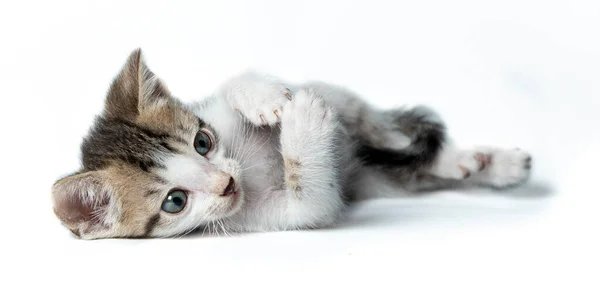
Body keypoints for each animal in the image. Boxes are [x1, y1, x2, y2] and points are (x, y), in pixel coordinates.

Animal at [50, 49, 528, 240]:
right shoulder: (282, 215)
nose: (226, 184)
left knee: (383, 130)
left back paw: (472, 157)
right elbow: (313, 200)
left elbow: (235, 79)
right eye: (174, 202)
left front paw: (262, 99)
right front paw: (303, 124)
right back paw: (482, 164)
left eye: (203, 142)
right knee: (412, 170)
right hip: (374, 182)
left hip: (351, 106)